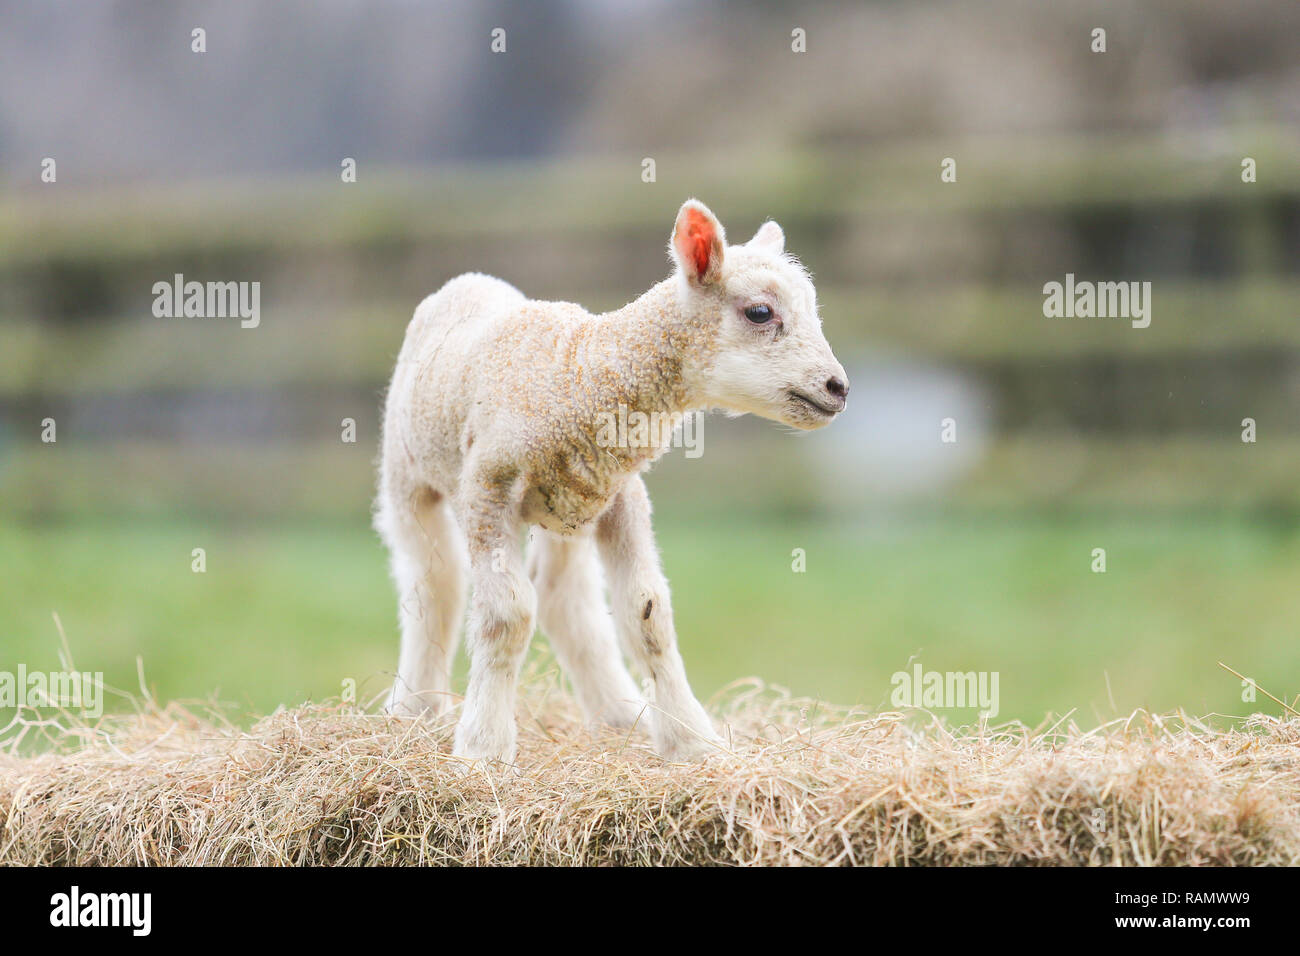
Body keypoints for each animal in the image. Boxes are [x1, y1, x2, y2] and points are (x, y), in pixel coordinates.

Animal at [371, 200, 847, 764]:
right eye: (759, 312)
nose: (838, 387)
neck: (581, 373)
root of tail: (468, 281)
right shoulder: (488, 484)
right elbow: (506, 615)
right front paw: (484, 748)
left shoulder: (620, 494)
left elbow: (647, 614)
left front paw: (692, 741)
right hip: (408, 470)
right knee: (434, 580)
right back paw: (416, 709)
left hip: (566, 506)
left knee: (563, 596)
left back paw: (616, 713)